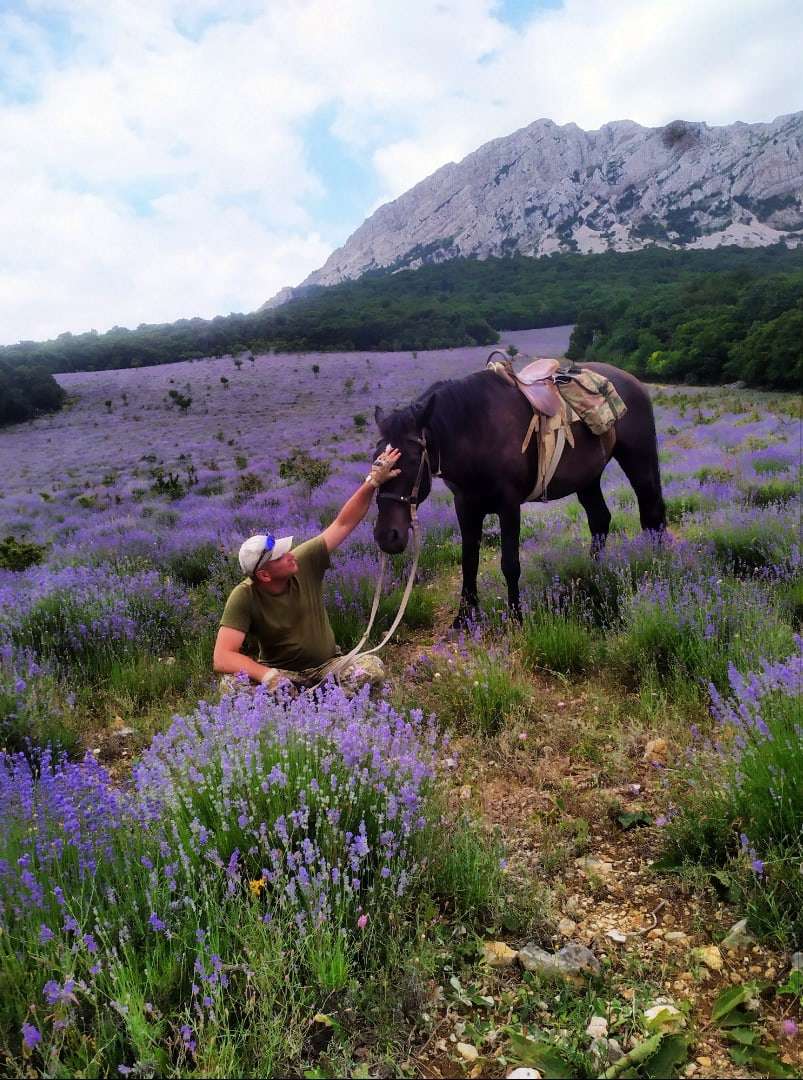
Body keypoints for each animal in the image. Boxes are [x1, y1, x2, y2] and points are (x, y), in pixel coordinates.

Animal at [373, 360, 669, 622]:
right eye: (375, 459)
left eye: (412, 460)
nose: (387, 536)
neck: (478, 430)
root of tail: (633, 382)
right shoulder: (465, 506)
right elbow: (469, 561)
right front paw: (464, 619)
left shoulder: (508, 505)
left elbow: (510, 564)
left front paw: (516, 618)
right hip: (588, 478)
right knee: (599, 520)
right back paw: (593, 574)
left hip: (639, 462)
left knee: (652, 515)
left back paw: (655, 567)